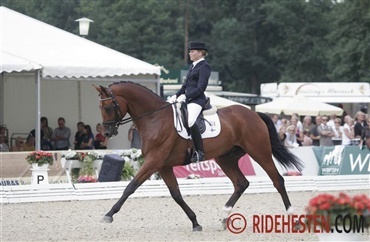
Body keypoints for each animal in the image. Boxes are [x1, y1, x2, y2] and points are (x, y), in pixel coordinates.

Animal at [94, 81, 302, 231]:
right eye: (100, 108)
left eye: (108, 107)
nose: (107, 133)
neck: (154, 118)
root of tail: (255, 114)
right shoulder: (163, 165)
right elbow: (176, 194)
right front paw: (195, 222)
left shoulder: (154, 161)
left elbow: (131, 186)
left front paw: (109, 214)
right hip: (225, 158)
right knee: (241, 183)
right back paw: (224, 217)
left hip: (260, 152)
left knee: (277, 180)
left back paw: (293, 217)